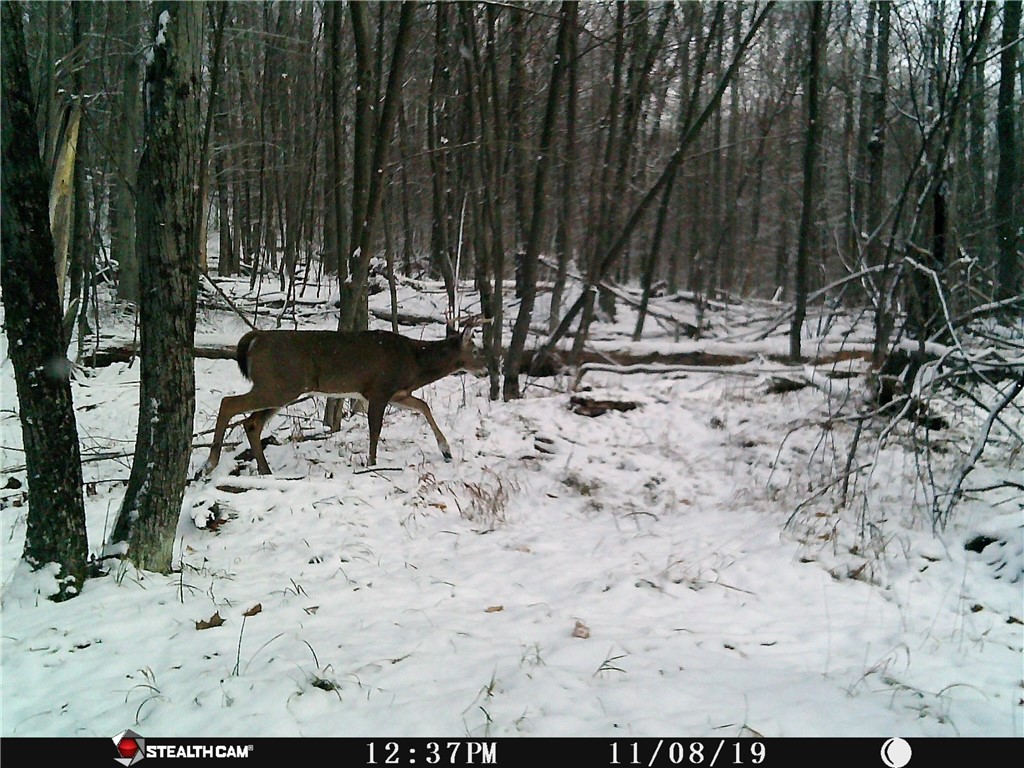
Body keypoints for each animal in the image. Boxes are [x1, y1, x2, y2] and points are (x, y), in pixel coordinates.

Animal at [203, 318, 485, 476]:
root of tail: (256, 338)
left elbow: (423, 405)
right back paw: (211, 462)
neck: (415, 362)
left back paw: (264, 469)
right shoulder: (379, 389)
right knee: (229, 403)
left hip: (281, 388)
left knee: (251, 422)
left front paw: (446, 450)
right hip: (280, 385)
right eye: (476, 350)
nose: (485, 370)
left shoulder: (397, 393)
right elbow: (375, 429)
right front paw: (372, 464)